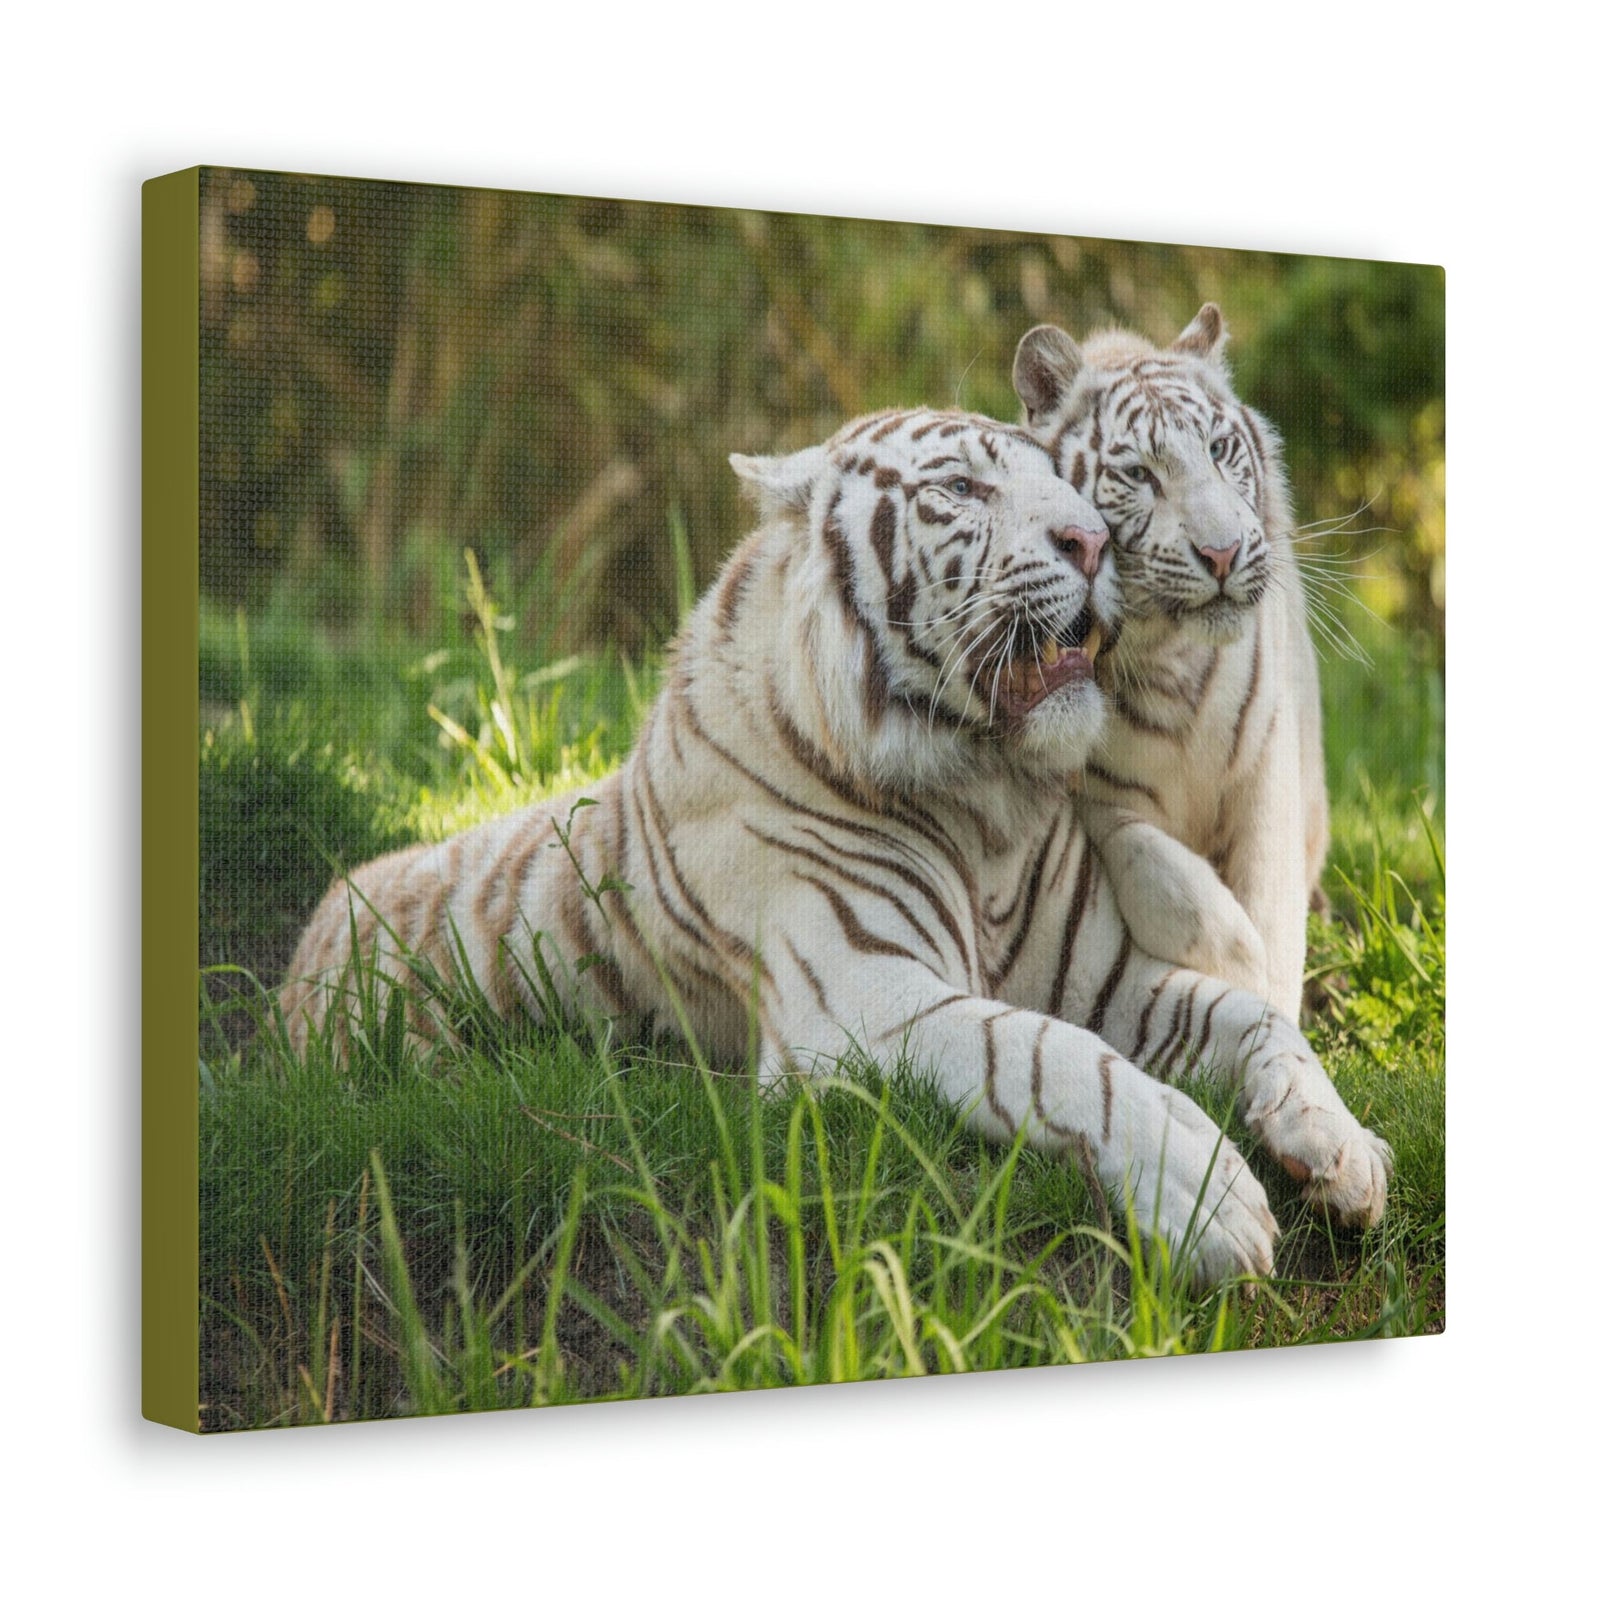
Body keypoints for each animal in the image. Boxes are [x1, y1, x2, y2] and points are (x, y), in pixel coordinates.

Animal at [283, 407, 1389, 1286]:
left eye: (1074, 485)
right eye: (962, 488)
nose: (1092, 541)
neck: (986, 805)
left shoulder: (1107, 979)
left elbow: (1259, 1021)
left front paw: (1342, 1151)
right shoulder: (860, 1000)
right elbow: (1052, 1057)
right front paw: (1212, 1199)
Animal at [1013, 306, 1327, 1019]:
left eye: (1218, 450)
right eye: (1139, 476)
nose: (1223, 552)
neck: (1169, 659)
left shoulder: (1269, 771)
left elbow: (1273, 905)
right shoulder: (1088, 794)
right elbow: (1162, 871)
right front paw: (1237, 962)